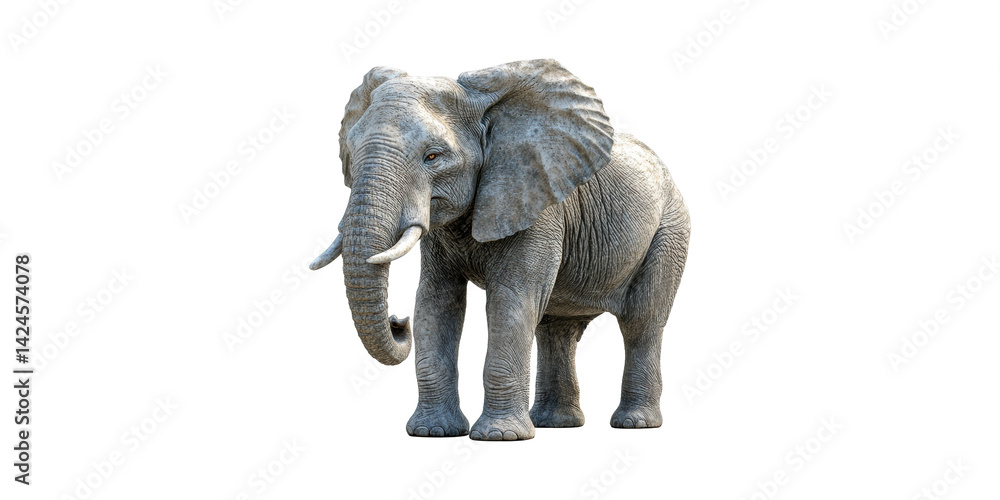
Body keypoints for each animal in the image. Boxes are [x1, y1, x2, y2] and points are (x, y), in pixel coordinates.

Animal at [310, 59, 690, 441]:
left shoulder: (537, 203)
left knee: (642, 322)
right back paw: (556, 423)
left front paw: (500, 436)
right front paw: (433, 432)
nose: (397, 322)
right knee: (555, 329)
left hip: (670, 230)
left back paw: (634, 423)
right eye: (351, 152)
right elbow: (436, 301)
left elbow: (510, 300)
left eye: (432, 156)